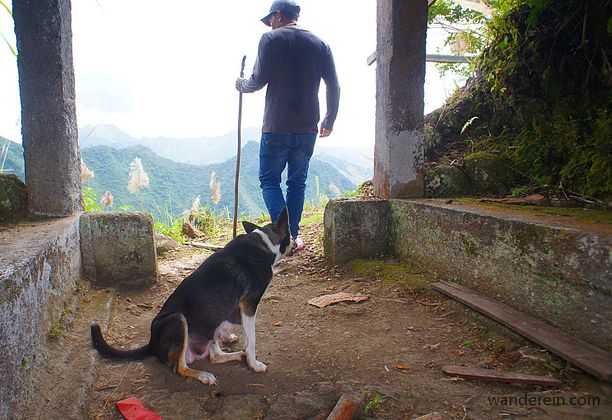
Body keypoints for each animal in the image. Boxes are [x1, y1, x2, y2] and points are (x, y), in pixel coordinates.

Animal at [89, 207, 292, 384]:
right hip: (178, 320)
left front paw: (232, 340)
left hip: (209, 323)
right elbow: (251, 340)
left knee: (215, 356)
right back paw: (203, 375)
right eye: (290, 236)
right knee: (179, 368)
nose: (297, 243)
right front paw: (254, 364)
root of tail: (151, 344)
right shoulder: (249, 305)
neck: (265, 243)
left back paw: (233, 355)